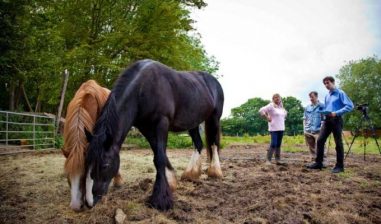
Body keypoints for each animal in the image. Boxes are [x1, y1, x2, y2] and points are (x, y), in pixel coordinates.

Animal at [84, 59, 224, 210]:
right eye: (87, 161)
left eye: (105, 165)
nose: (89, 202)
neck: (142, 88)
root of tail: (213, 81)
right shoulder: (145, 128)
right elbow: (158, 153)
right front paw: (171, 182)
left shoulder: (161, 123)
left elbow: (159, 158)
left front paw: (160, 199)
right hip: (193, 123)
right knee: (198, 144)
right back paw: (190, 174)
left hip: (214, 118)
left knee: (214, 144)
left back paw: (215, 172)